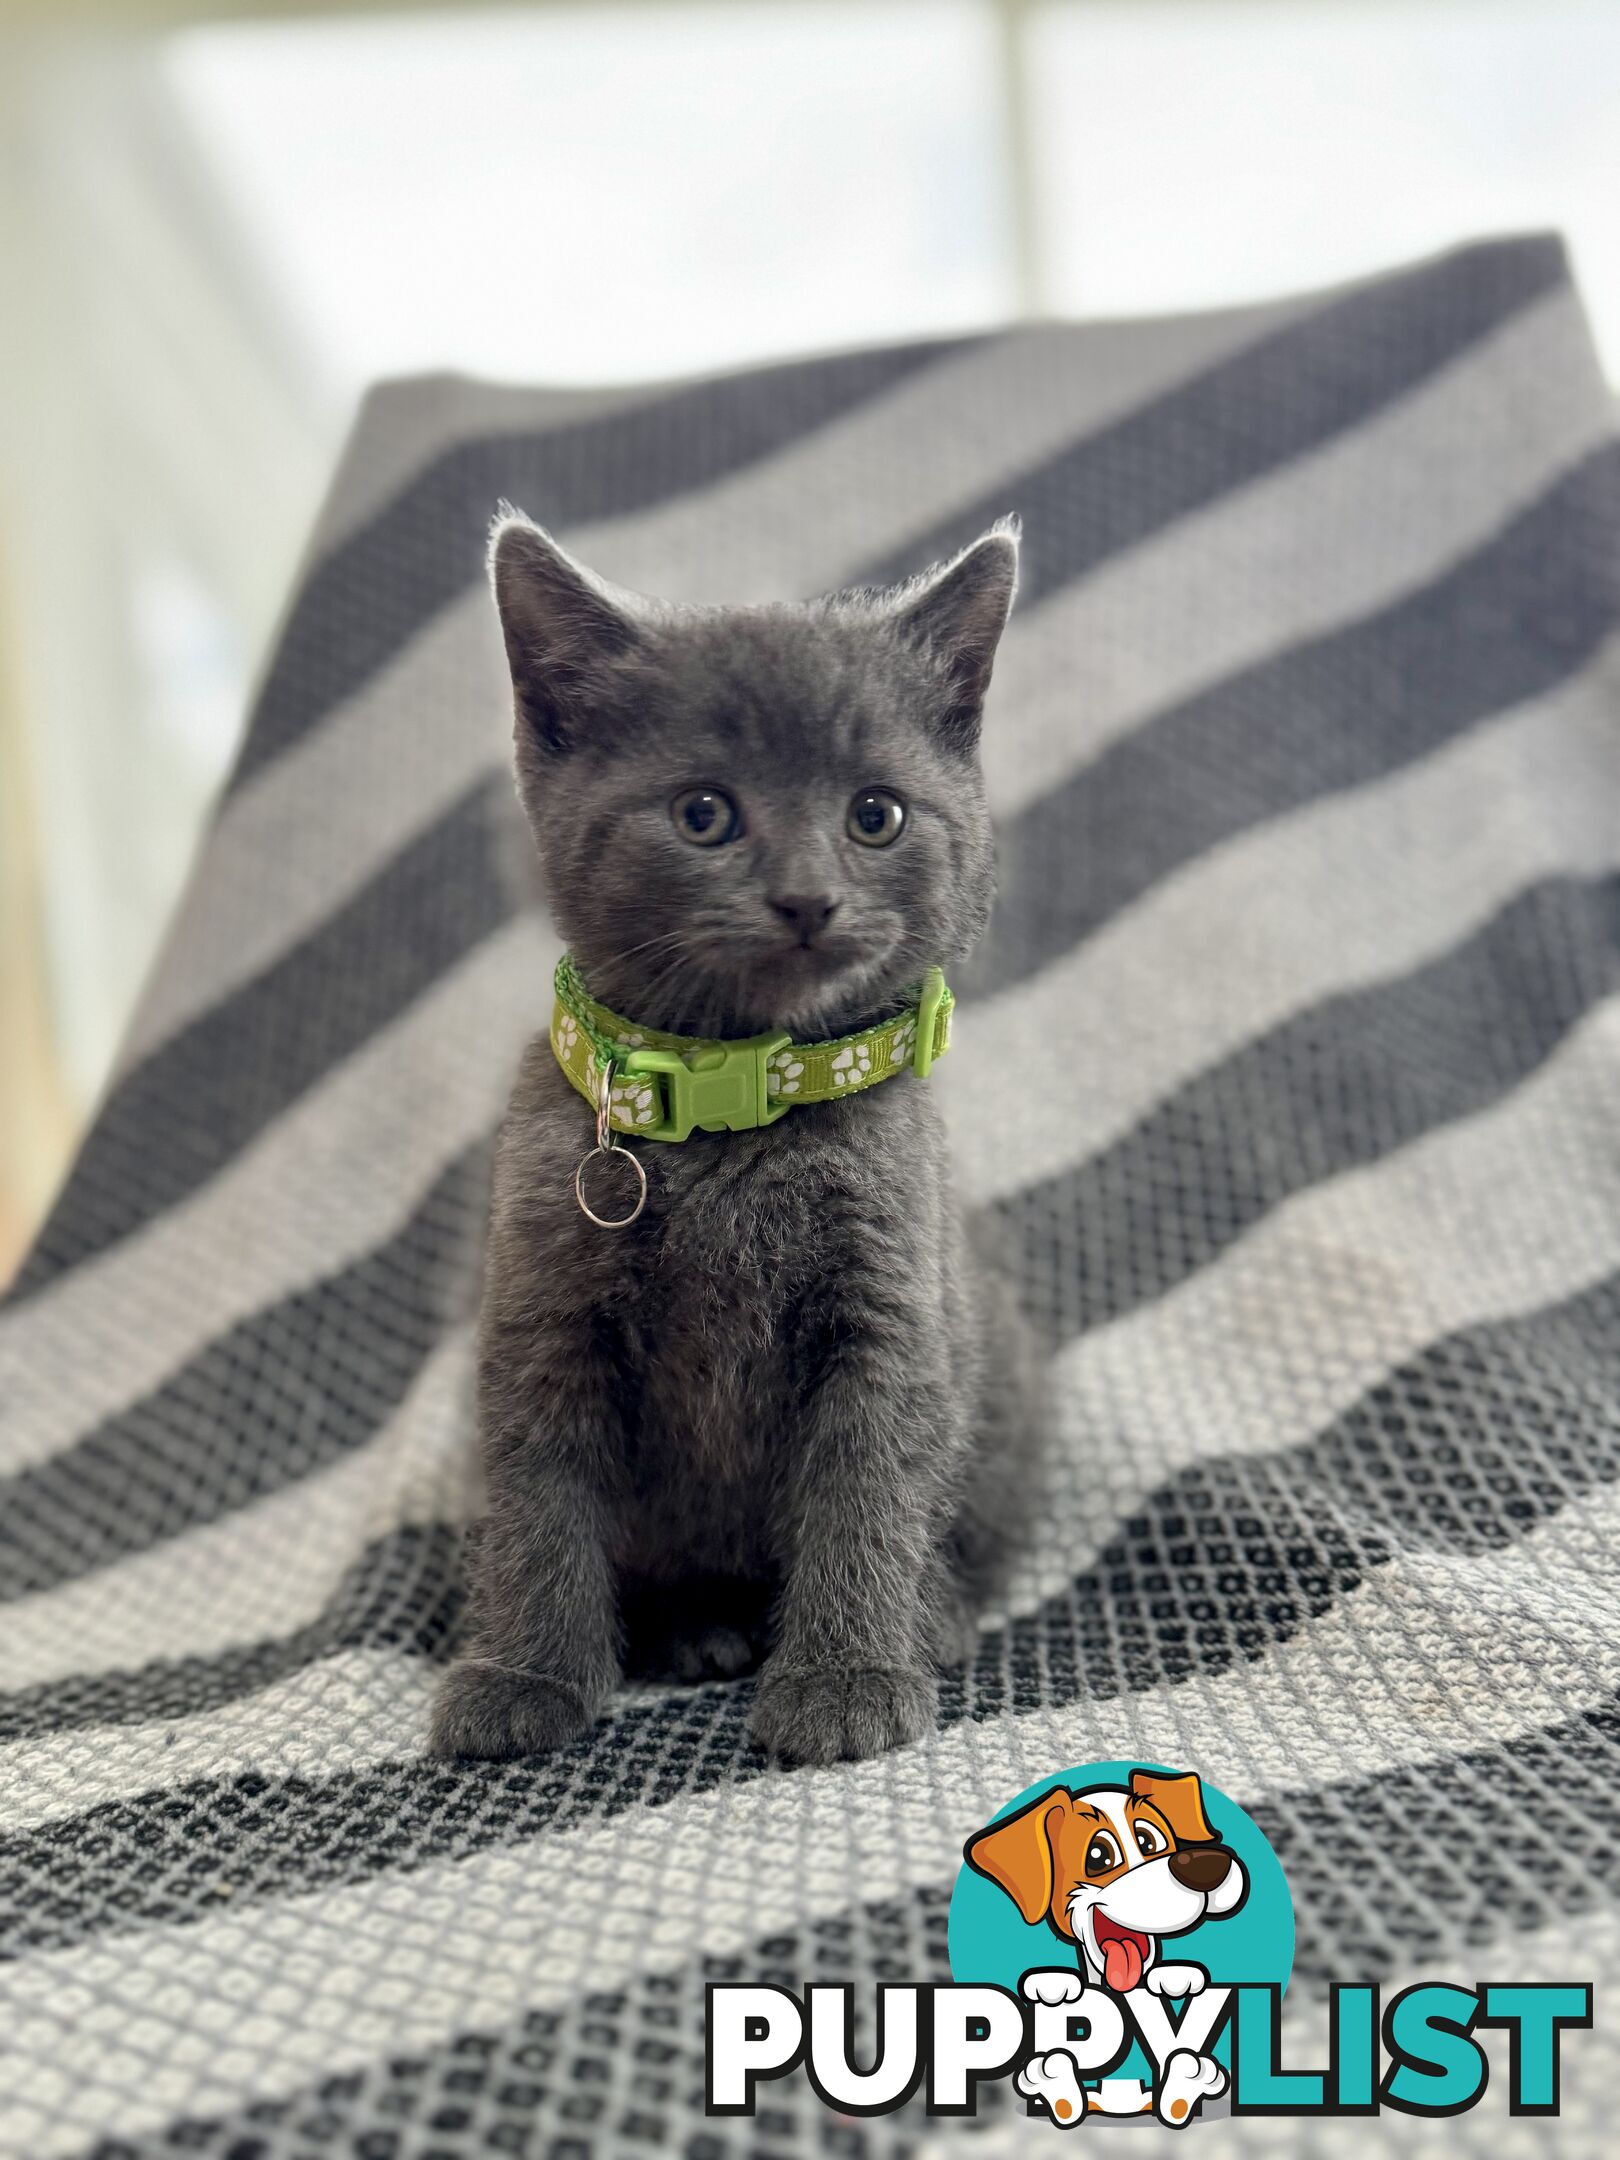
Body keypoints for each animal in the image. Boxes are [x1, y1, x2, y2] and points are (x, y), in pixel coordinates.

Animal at [432, 514, 1041, 1762]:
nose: (806, 898)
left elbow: (865, 1489)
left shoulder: (887, 1311)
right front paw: (525, 1677)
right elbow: (537, 1499)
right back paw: (692, 1630)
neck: (735, 1107)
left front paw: (849, 1677)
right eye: (703, 813)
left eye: (876, 814)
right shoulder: (540, 1310)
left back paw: (934, 1615)